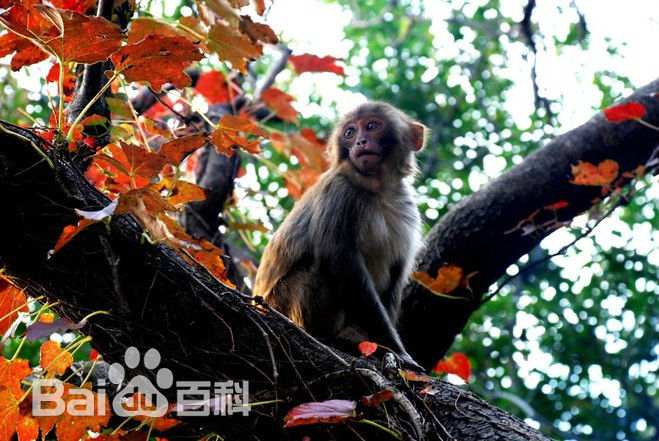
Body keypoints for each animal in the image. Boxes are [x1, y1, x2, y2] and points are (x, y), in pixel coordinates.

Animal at [253, 100, 428, 368]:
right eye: (350, 132)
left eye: (371, 126)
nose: (360, 141)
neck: (377, 191)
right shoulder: (338, 192)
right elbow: (340, 260)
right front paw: (397, 349)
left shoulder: (408, 210)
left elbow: (396, 274)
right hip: (282, 304)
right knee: (313, 272)